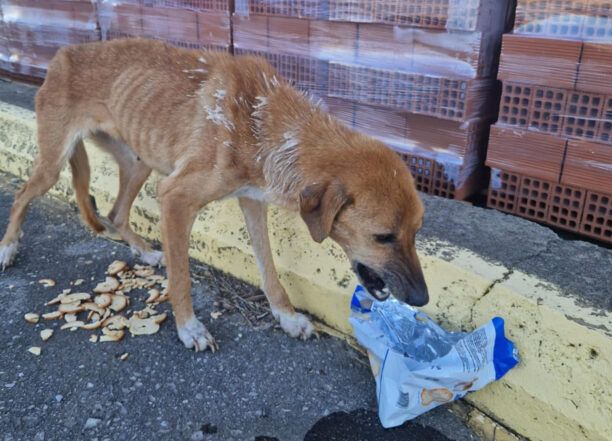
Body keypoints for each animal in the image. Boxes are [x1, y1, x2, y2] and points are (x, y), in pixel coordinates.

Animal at [0, 38, 430, 350]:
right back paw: (8, 248)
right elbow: (182, 279)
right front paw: (189, 328)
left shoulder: (252, 200)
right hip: (55, 163)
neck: (264, 121)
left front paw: (286, 316)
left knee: (116, 213)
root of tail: (63, 53)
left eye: (415, 233)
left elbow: (269, 268)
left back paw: (145, 252)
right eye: (383, 237)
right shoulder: (175, 198)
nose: (422, 299)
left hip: (139, 163)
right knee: (22, 194)